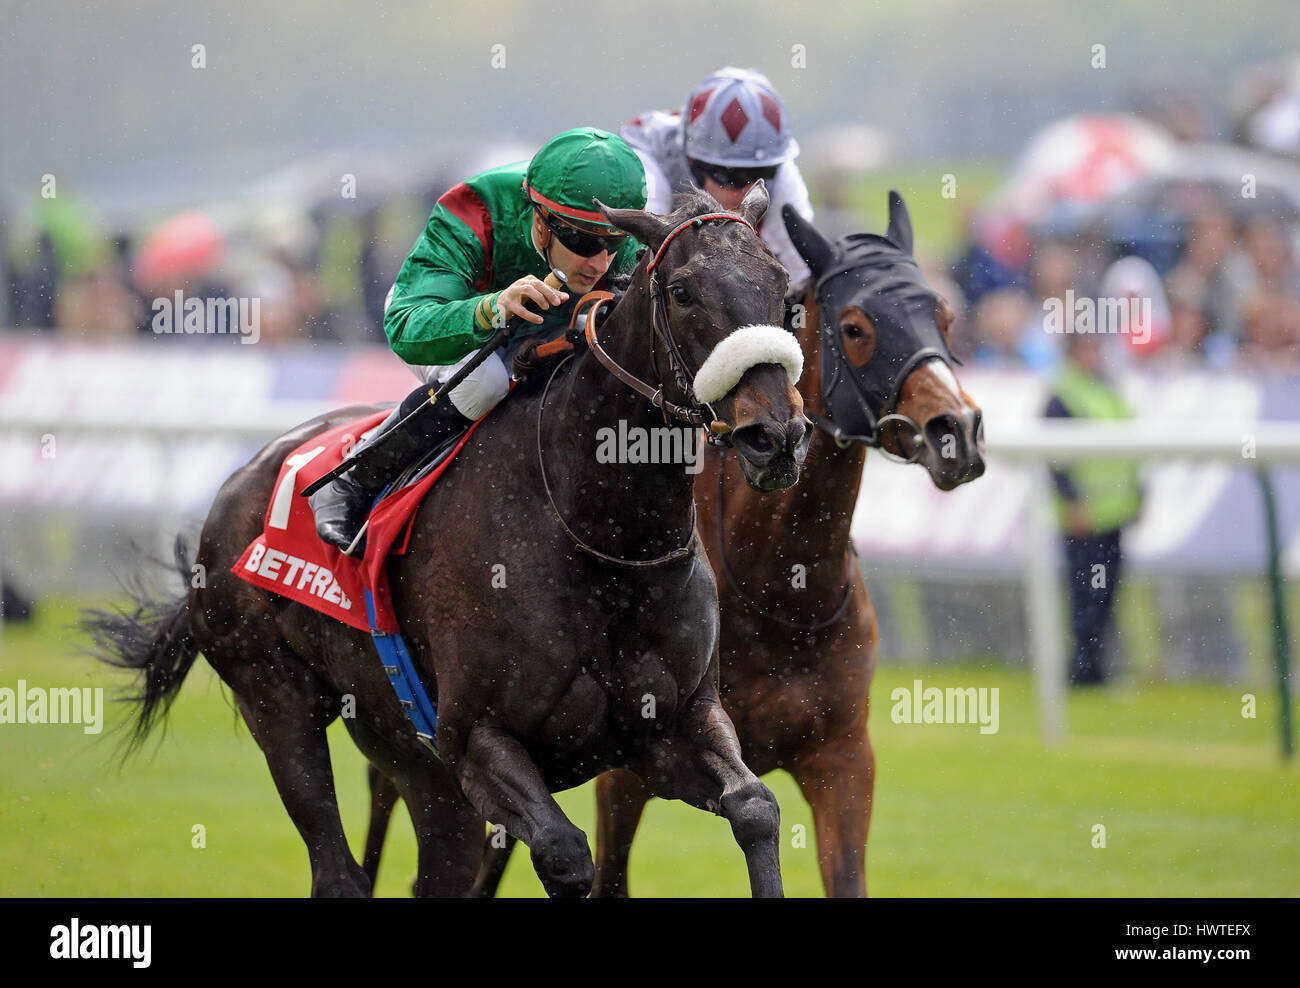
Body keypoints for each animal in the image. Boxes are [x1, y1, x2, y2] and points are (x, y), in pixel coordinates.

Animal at [83, 183, 811, 894]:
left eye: (783, 288)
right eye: (683, 290)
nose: (774, 436)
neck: (601, 539)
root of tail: (238, 483)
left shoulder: (672, 727)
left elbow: (755, 808)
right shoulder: (474, 739)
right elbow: (566, 853)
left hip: (405, 750)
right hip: (275, 698)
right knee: (337, 869)